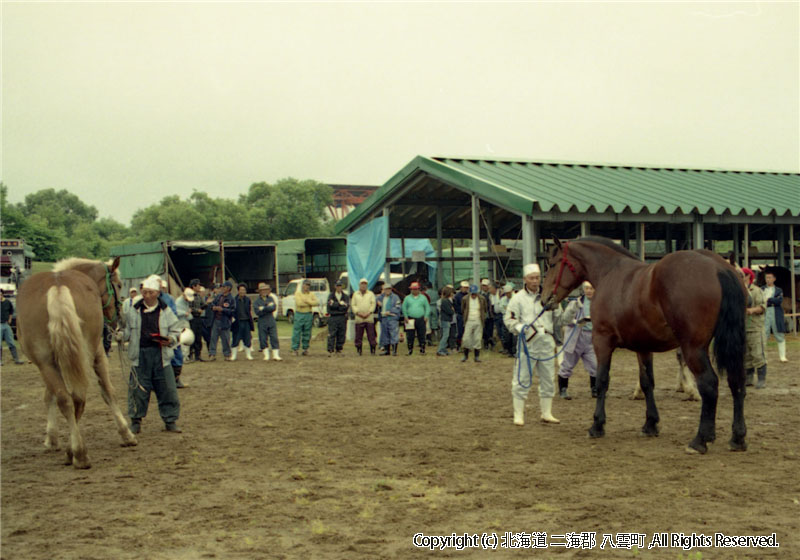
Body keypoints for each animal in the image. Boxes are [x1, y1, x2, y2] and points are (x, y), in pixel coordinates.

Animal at [15, 256, 138, 466]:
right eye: (120, 284)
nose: (119, 320)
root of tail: (57, 286)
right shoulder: (96, 353)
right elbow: (108, 392)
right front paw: (126, 433)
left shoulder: (55, 362)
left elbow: (51, 396)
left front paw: (52, 438)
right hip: (76, 357)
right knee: (75, 398)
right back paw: (77, 452)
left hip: (48, 363)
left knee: (68, 399)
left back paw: (75, 451)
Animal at [540, 237, 748, 456]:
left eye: (552, 264)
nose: (544, 299)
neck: (610, 272)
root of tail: (719, 268)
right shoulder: (643, 346)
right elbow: (647, 381)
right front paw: (650, 424)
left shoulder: (602, 341)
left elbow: (602, 380)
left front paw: (597, 425)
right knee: (737, 382)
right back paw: (737, 438)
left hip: (694, 348)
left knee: (709, 384)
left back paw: (700, 440)